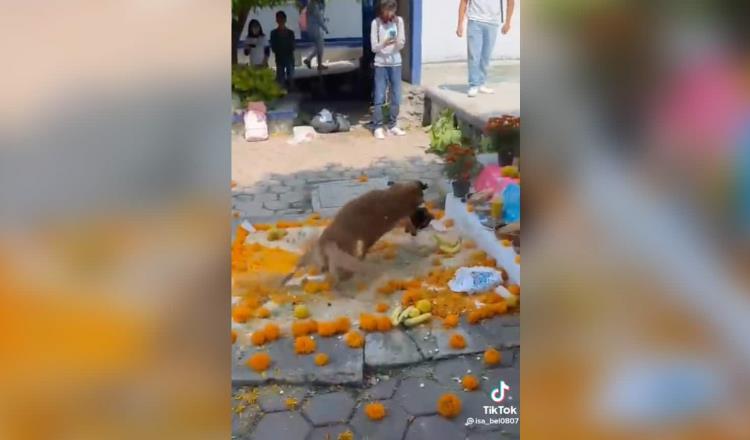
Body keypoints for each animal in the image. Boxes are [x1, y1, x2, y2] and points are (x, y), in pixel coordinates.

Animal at [284, 180, 428, 286]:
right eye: (421, 194)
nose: (423, 186)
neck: (395, 197)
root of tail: (327, 241)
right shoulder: (376, 232)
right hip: (347, 247)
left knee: (319, 264)